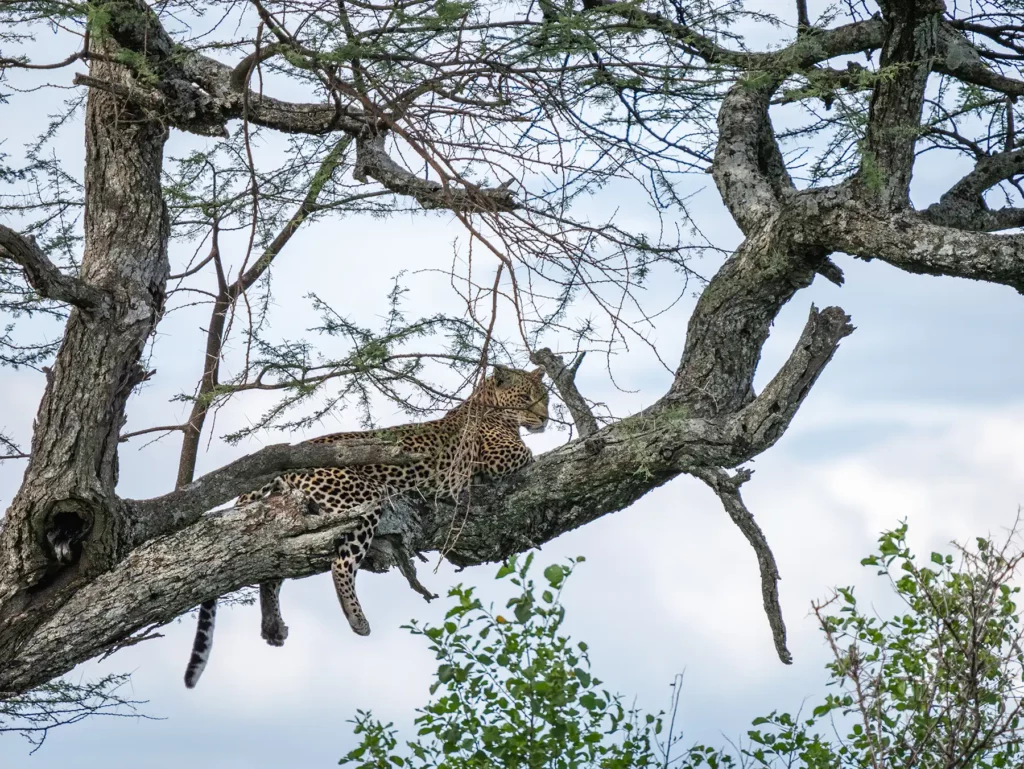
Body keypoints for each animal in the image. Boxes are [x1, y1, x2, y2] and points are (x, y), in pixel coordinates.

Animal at [183, 364, 549, 688]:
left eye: (545, 397)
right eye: (526, 398)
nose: (545, 418)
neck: (486, 402)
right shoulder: (502, 456)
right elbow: (530, 454)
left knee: (272, 572)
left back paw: (273, 626)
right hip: (364, 499)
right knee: (341, 564)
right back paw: (356, 618)